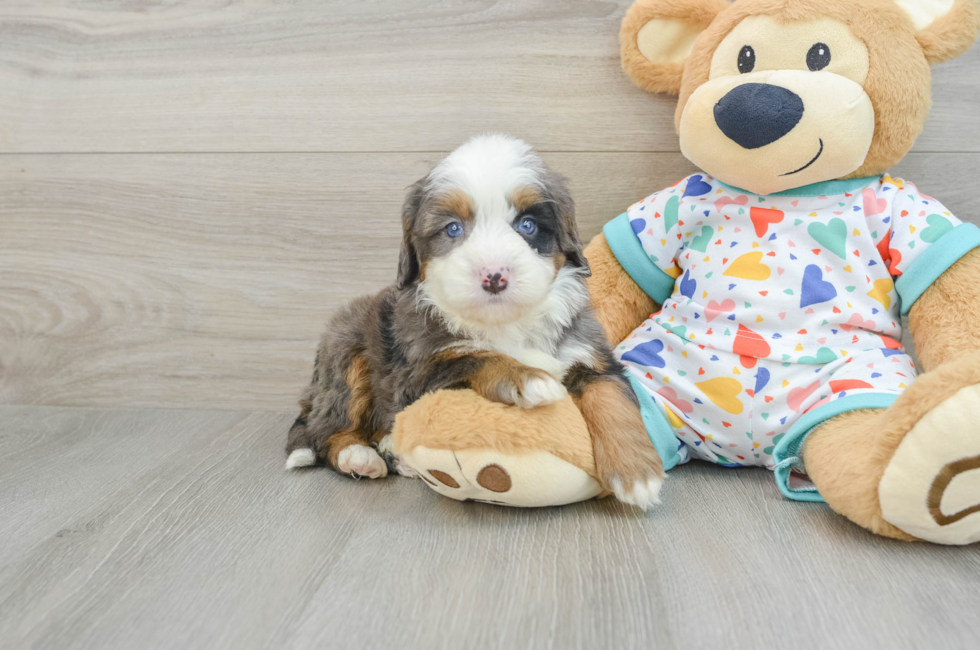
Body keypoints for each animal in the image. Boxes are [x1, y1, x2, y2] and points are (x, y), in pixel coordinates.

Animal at [288, 132, 664, 506]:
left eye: (527, 225)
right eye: (453, 229)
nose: (494, 275)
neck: (506, 324)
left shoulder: (587, 351)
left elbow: (612, 396)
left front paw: (637, 473)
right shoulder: (416, 373)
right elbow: (475, 357)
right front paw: (528, 378)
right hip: (347, 354)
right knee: (327, 430)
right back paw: (358, 456)